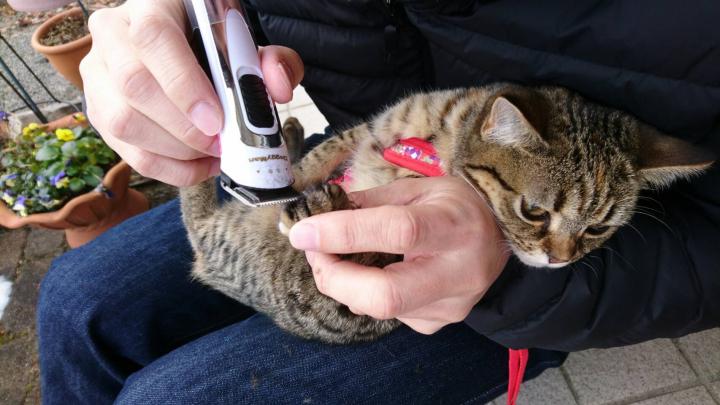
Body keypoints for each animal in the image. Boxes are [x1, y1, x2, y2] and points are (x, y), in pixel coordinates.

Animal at [180, 83, 716, 342]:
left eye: (599, 227)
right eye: (533, 211)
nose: (560, 260)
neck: (435, 141)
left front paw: (314, 203)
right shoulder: (368, 131)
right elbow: (322, 153)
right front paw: (291, 174)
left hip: (233, 245)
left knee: (198, 223)